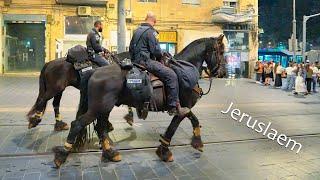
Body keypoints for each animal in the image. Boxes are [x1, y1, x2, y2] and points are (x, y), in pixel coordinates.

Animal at [52, 34, 226, 167]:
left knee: (100, 128)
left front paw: (197, 141)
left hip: (104, 108)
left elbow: (194, 120)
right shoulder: (181, 108)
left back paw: (110, 152)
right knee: (78, 124)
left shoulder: (184, 107)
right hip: (98, 108)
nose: (223, 73)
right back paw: (62, 155)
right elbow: (173, 128)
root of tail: (94, 72)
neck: (185, 69)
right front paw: (164, 151)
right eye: (222, 51)